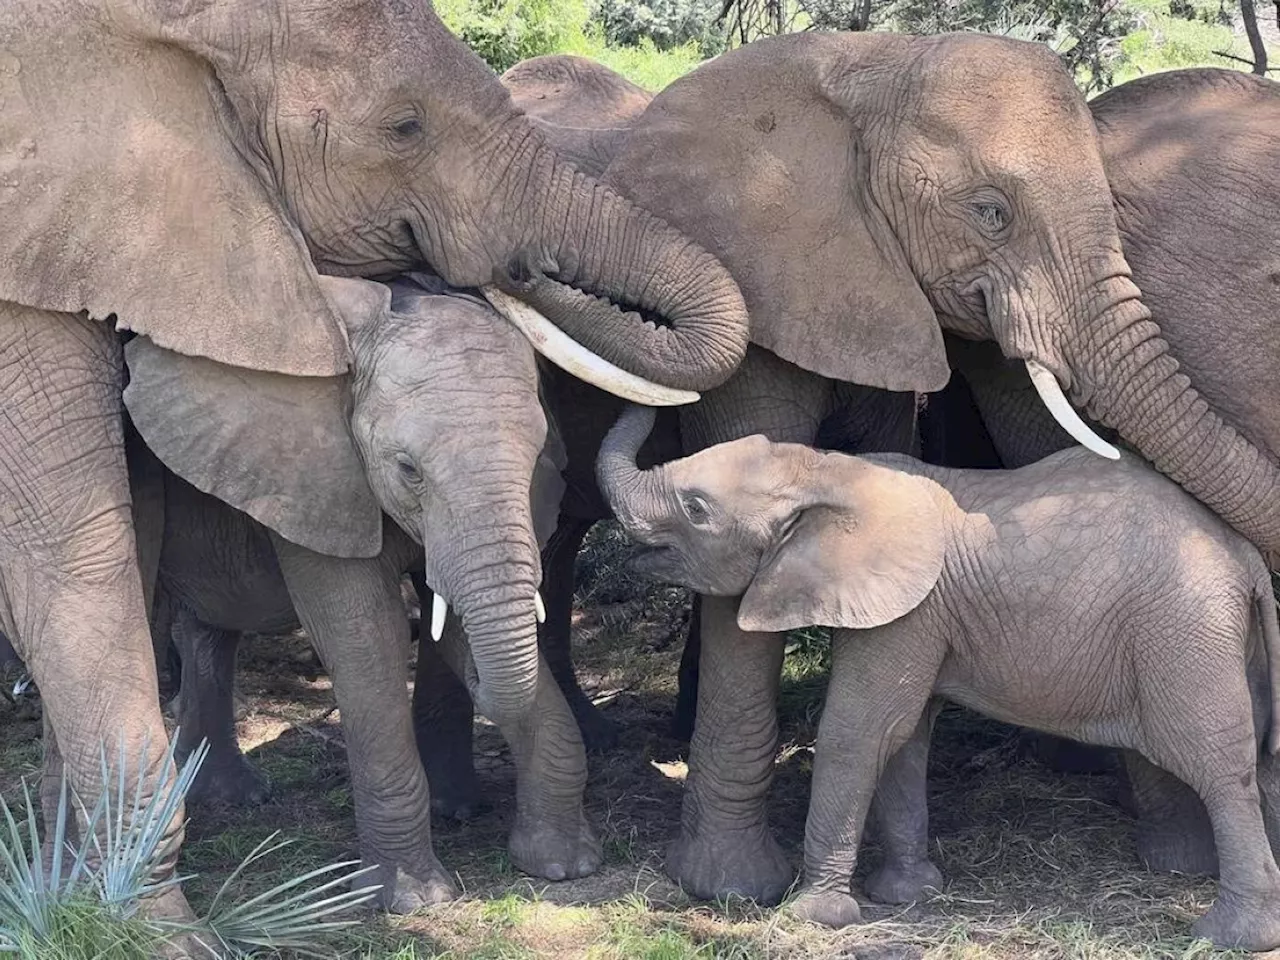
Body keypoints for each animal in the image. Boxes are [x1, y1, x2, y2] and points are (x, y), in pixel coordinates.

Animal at [120, 276, 599, 911]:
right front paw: (413, 900)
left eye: (537, 458)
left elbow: (457, 623)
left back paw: (231, 798)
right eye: (408, 469)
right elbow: (367, 635)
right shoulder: (314, 480)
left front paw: (565, 867)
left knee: (209, 630)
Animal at [596, 407, 1280, 957]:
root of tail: (1244, 556)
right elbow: (904, 738)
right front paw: (907, 894)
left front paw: (816, 915)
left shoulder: (907, 612)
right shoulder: (914, 615)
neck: (828, 473)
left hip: (1184, 629)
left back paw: (1230, 936)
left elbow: (861, 732)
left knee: (1219, 767)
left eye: (696, 509)